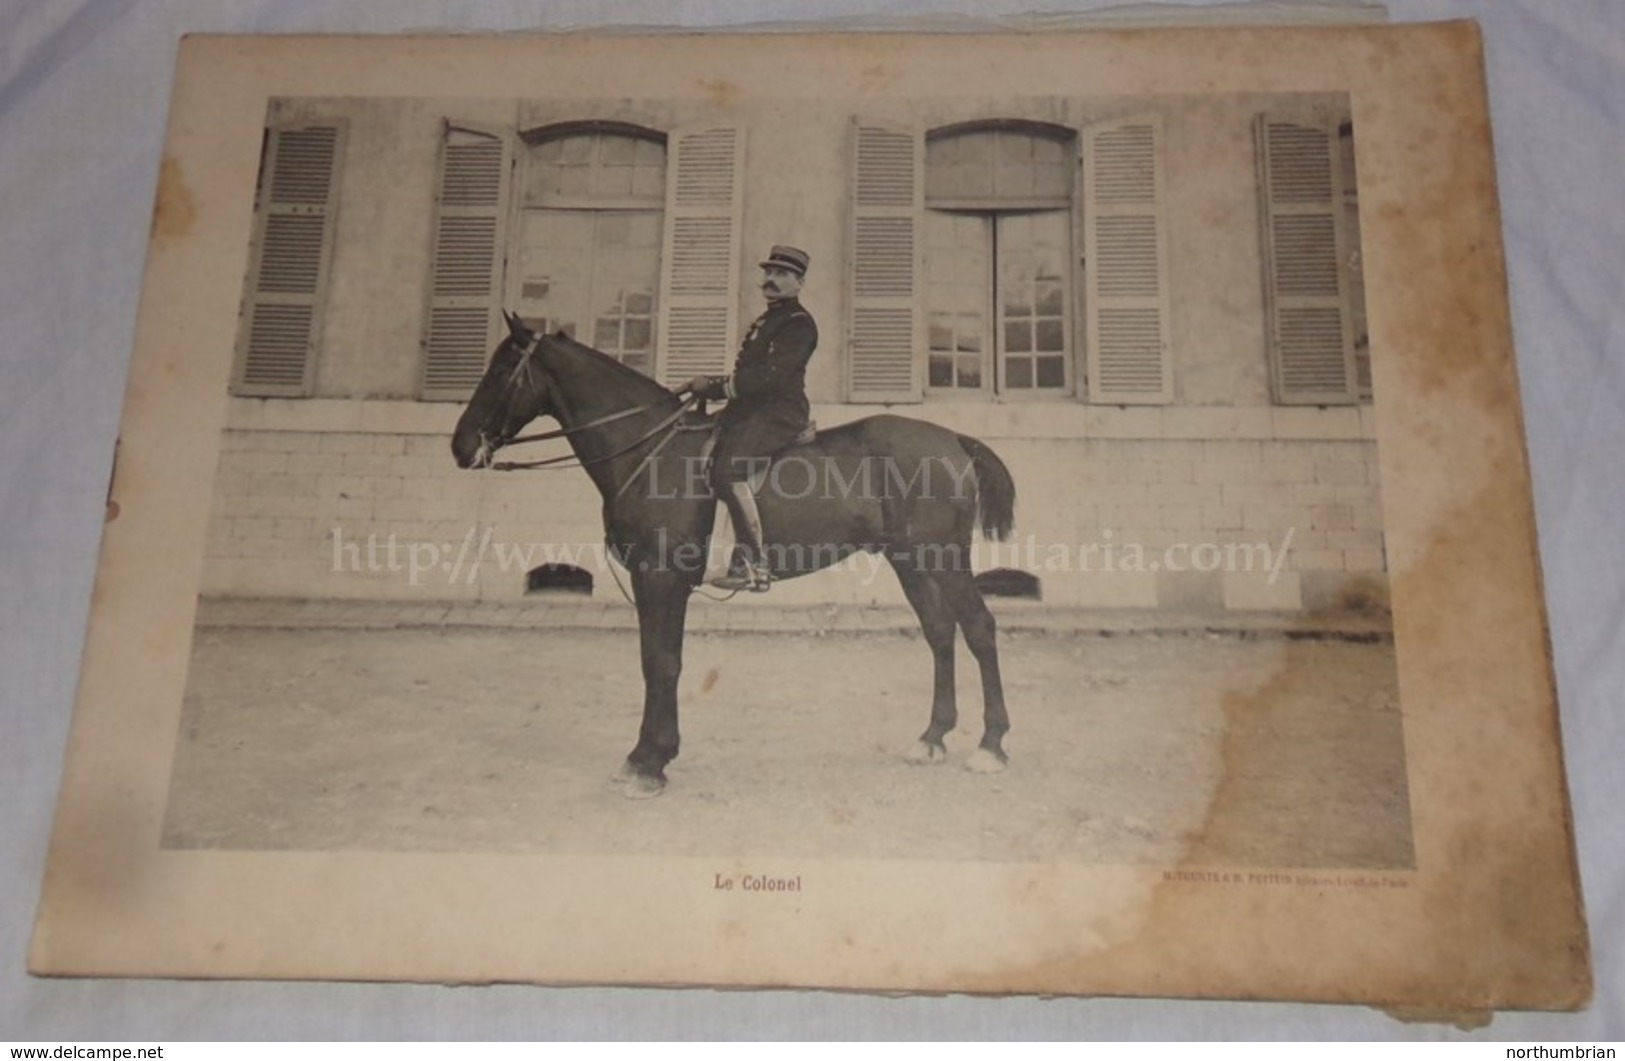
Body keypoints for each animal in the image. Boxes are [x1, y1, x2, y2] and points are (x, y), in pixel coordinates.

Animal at [451, 315, 1014, 792]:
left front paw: (649, 761)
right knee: (940, 633)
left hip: (943, 559)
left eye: (501, 370)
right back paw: (932, 737)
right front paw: (651, 755)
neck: (650, 452)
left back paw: (991, 745)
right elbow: (656, 659)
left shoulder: (660, 579)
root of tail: (954, 439)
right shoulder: (655, 583)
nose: (460, 446)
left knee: (979, 629)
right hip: (910, 562)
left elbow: (661, 662)